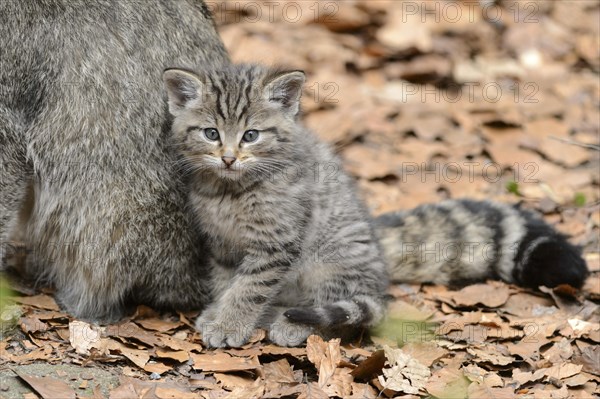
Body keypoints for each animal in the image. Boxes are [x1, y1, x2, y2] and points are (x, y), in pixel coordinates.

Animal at [164, 65, 390, 346]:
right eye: (211, 133)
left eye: (251, 135)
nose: (228, 159)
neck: (229, 191)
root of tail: (376, 288)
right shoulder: (221, 244)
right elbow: (225, 282)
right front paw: (217, 313)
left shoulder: (275, 243)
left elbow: (249, 288)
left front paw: (228, 326)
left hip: (331, 259)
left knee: (337, 315)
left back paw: (292, 325)